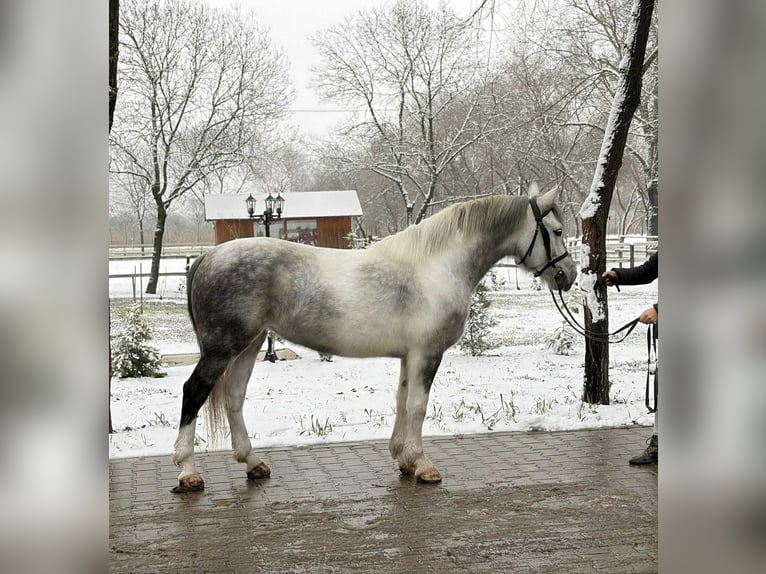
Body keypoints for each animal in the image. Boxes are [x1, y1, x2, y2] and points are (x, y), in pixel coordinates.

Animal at [171, 184, 577, 492]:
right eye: (557, 231)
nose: (569, 276)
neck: (437, 267)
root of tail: (208, 257)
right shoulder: (427, 353)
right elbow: (418, 405)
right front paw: (423, 464)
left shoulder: (409, 356)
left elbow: (402, 402)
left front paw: (404, 459)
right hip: (223, 349)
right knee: (194, 392)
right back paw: (188, 471)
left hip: (250, 345)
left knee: (234, 398)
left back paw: (253, 463)